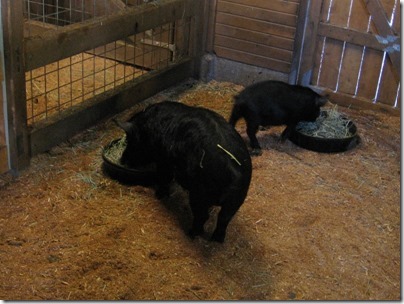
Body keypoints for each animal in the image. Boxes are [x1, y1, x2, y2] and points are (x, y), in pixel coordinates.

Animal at [116, 101, 252, 243]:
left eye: (130, 140)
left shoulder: (164, 162)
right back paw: (217, 240)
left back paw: (191, 233)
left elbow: (164, 178)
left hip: (199, 193)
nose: (122, 159)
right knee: (224, 219)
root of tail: (234, 173)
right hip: (236, 199)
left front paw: (158, 195)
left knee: (203, 216)